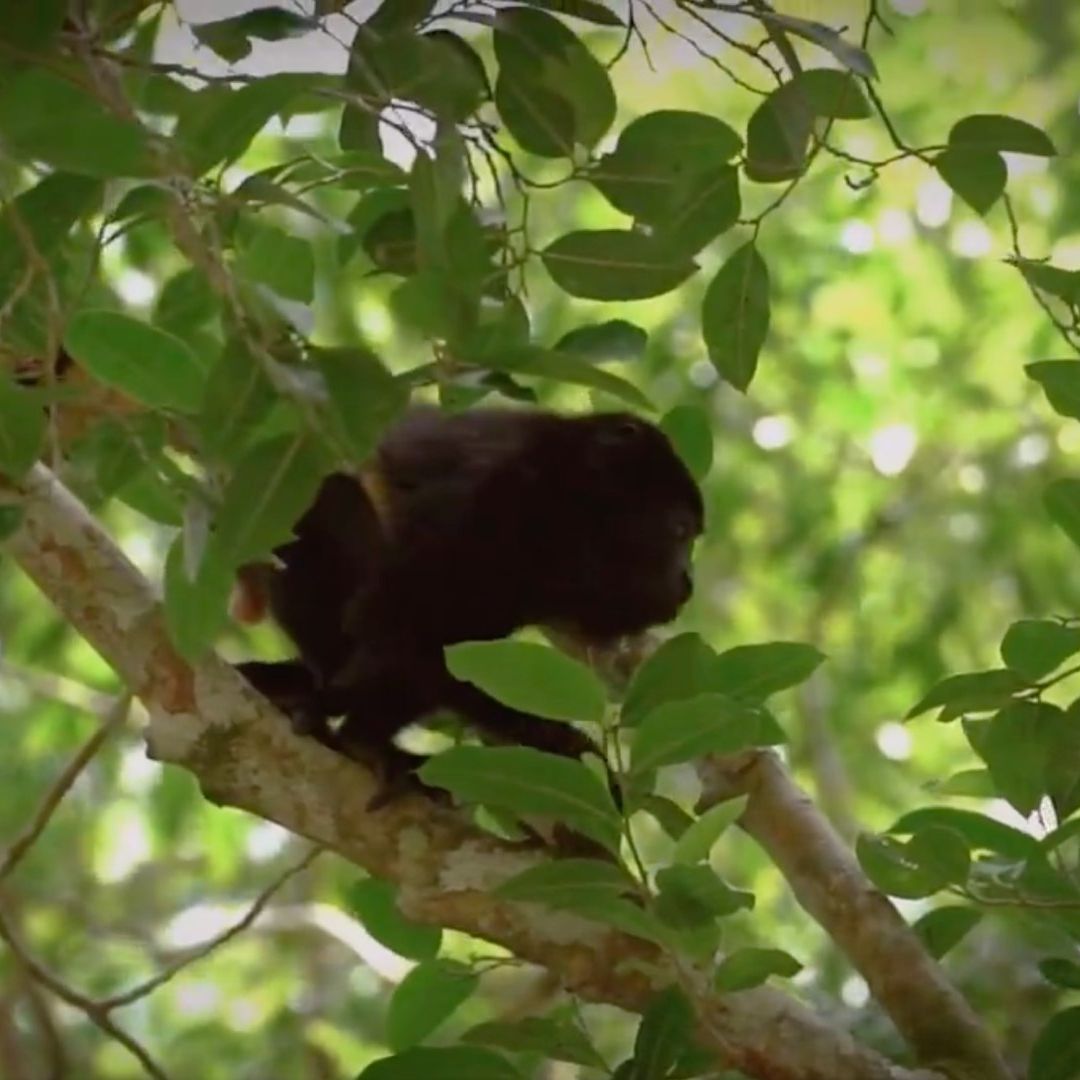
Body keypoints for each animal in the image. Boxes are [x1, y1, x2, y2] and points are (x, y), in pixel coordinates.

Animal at [234, 405, 705, 805]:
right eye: (680, 531)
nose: (687, 582)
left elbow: (464, 655)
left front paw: (555, 740)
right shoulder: (496, 489)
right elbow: (391, 617)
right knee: (339, 500)